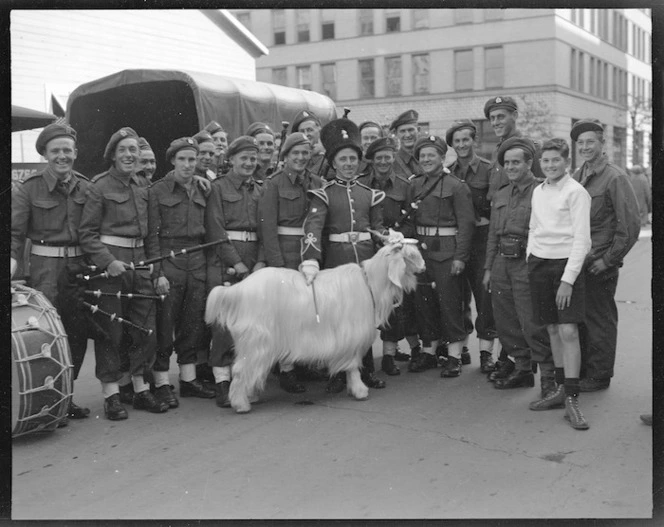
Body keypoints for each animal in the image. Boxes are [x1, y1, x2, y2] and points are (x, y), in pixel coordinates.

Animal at [202, 235, 428, 412]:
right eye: (410, 255)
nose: (424, 267)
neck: (369, 282)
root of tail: (238, 290)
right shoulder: (351, 336)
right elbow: (352, 366)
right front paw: (359, 390)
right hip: (256, 341)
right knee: (241, 369)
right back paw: (240, 403)